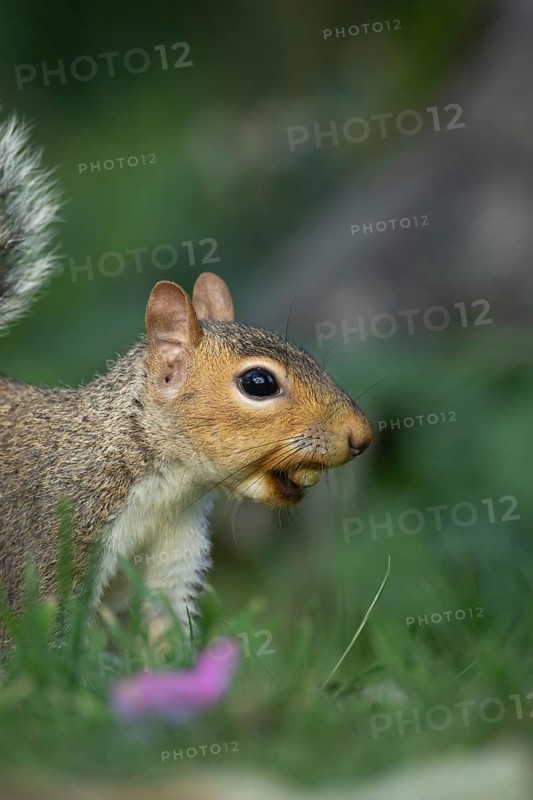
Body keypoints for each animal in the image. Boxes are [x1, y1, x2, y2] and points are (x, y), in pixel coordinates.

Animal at [0, 114, 373, 650]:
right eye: (259, 382)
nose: (362, 436)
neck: (163, 488)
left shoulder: (174, 549)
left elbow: (167, 632)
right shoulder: (52, 544)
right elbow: (43, 648)